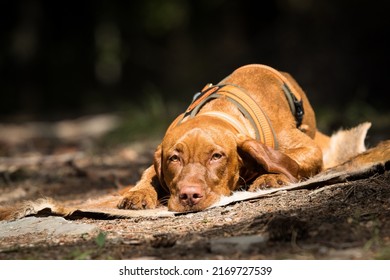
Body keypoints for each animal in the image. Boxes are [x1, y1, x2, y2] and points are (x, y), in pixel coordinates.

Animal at [117, 63, 330, 212]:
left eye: (216, 156)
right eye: (174, 158)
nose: (189, 195)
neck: (221, 110)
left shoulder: (310, 149)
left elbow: (288, 161)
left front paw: (271, 176)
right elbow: (148, 175)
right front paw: (138, 193)